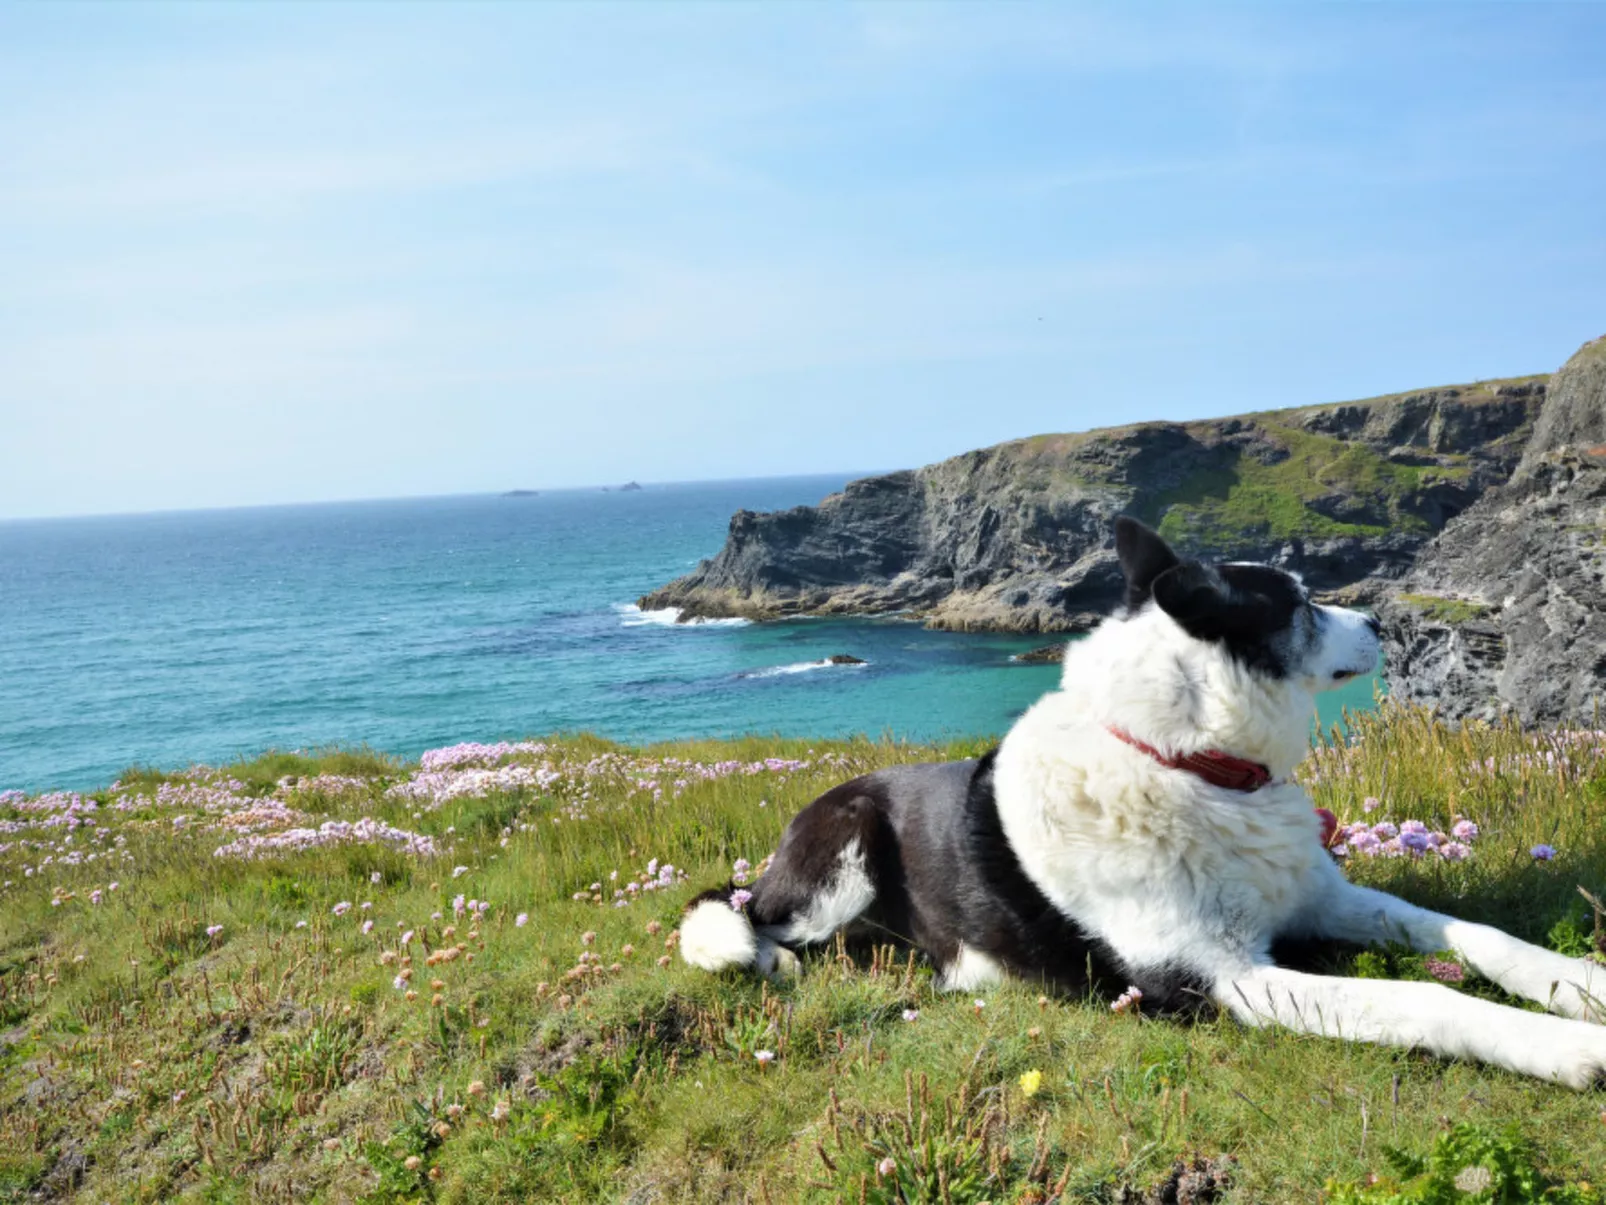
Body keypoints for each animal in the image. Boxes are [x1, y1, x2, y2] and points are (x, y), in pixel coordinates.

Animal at [677, 520, 1606, 1092]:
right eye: (1302, 601)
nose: (1381, 618)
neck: (1191, 764)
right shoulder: (1220, 978)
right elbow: (1423, 997)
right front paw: (1568, 1047)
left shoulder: (1320, 895)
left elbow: (1477, 934)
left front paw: (1581, 984)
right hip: (847, 849)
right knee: (752, 917)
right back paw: (781, 959)